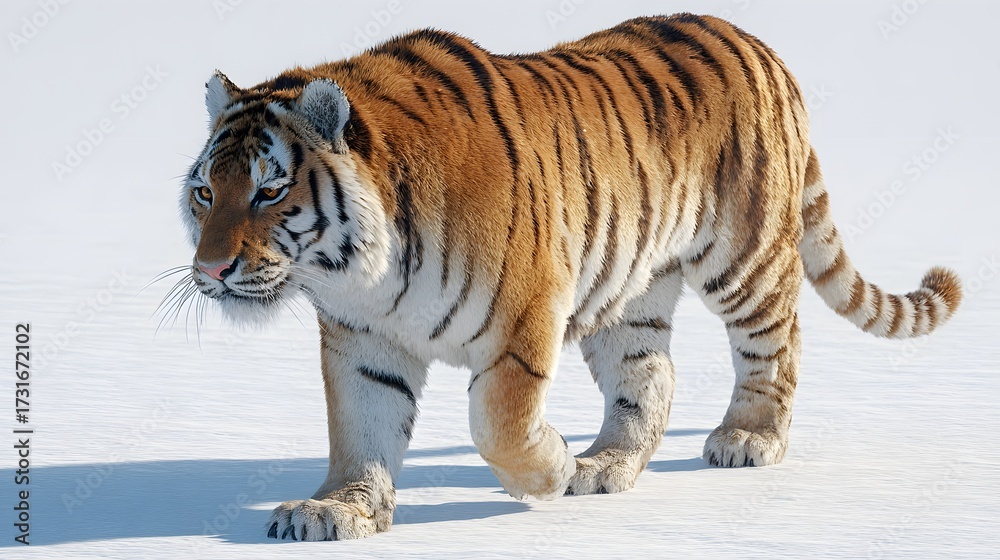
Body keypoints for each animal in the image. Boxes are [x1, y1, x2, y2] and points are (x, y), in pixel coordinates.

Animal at [179, 13, 962, 541]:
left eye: (269, 191)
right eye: (206, 193)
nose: (210, 269)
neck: (363, 272)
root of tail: (758, 43)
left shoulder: (526, 313)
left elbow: (498, 420)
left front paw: (547, 472)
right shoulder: (362, 339)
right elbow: (359, 427)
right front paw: (340, 509)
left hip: (745, 260)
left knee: (777, 345)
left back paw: (745, 440)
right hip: (633, 294)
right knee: (651, 377)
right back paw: (604, 465)